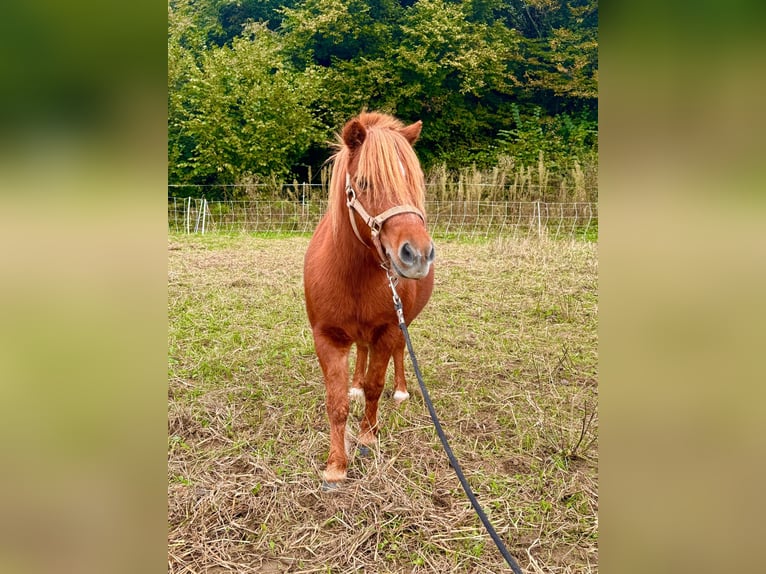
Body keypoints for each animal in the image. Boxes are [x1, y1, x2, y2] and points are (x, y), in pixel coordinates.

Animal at [306, 111, 438, 486]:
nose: (417, 254)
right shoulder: (326, 337)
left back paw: (402, 390)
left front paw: (367, 438)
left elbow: (375, 387)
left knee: (398, 354)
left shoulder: (388, 329)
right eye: (364, 183)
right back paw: (355, 383)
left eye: (414, 182)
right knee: (361, 355)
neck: (352, 274)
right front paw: (336, 465)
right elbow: (336, 402)